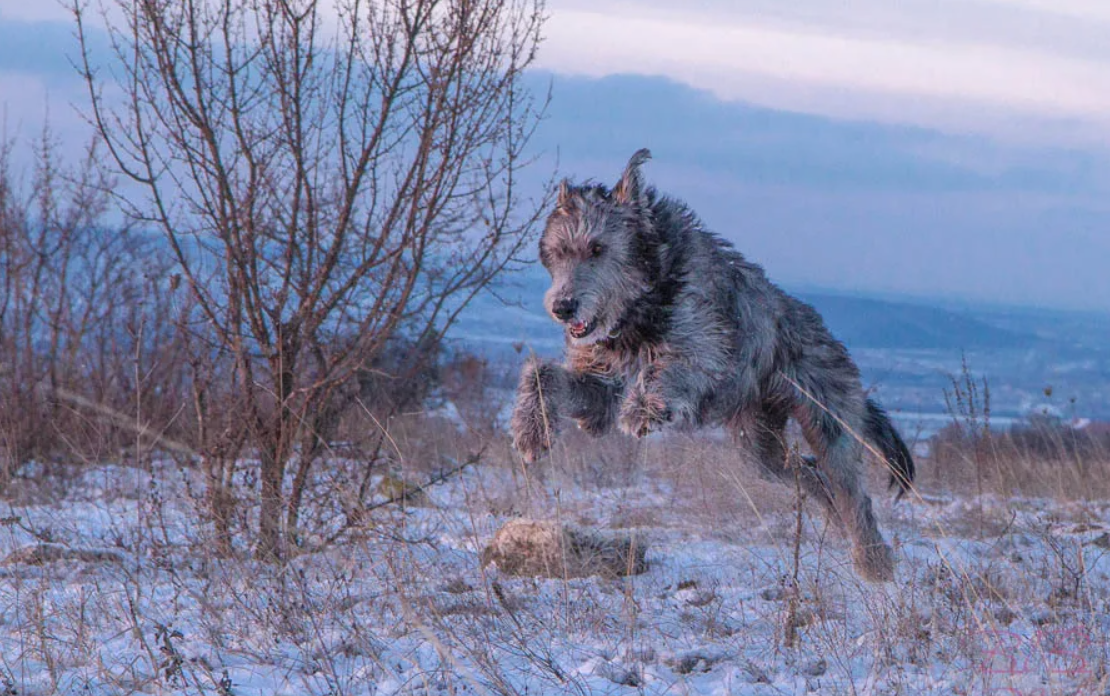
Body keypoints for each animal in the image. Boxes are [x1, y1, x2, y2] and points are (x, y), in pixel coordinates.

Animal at [508, 148, 914, 581]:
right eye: (558, 252)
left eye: (598, 249)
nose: (563, 307)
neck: (642, 304)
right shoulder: (600, 380)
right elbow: (544, 375)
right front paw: (530, 430)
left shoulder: (707, 346)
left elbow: (678, 362)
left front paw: (643, 407)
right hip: (759, 447)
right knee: (808, 473)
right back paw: (835, 525)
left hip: (829, 421)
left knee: (852, 492)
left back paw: (873, 563)